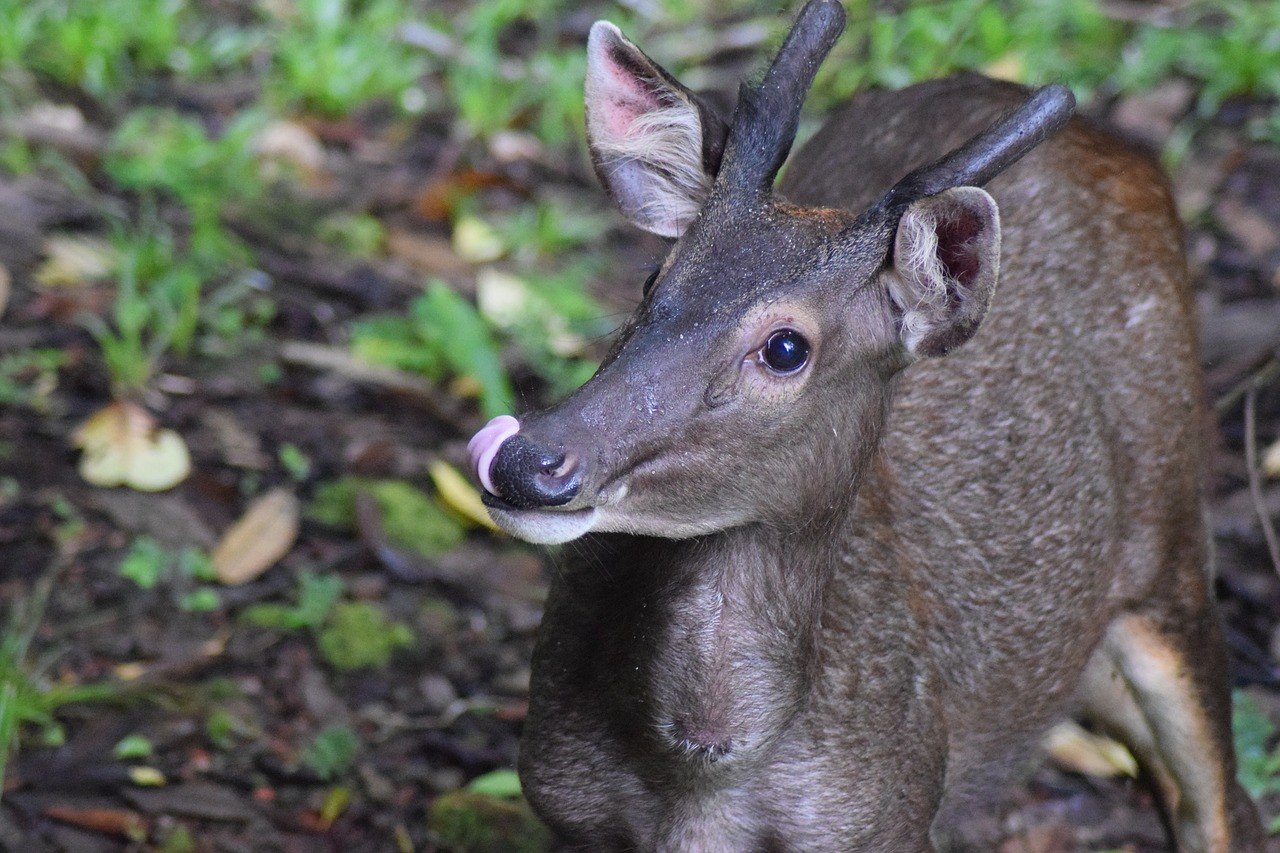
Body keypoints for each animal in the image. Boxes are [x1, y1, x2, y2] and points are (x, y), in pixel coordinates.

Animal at [465, 0, 1264, 845]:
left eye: (785, 346)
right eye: (655, 277)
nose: (526, 459)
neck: (703, 779)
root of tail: (1131, 153)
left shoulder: (892, 817)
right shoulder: (562, 804)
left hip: (1170, 533)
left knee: (1224, 800)